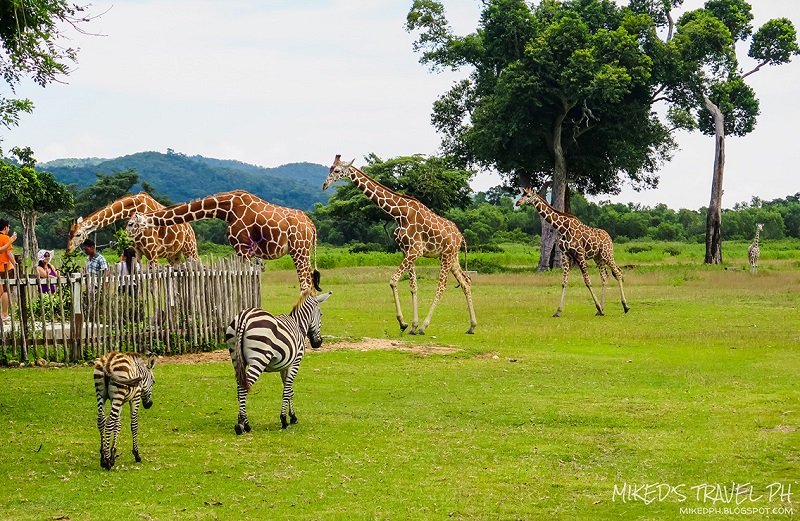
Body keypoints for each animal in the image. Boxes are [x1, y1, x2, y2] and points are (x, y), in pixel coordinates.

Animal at [65, 191, 197, 266]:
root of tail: (190, 228)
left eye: (78, 234)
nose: (67, 251)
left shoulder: (151, 251)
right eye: (69, 234)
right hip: (173, 255)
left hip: (190, 249)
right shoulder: (136, 250)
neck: (134, 208)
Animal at [126, 189, 320, 290]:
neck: (227, 210)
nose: (128, 237)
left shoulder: (243, 248)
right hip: (303, 251)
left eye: (130, 224)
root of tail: (312, 227)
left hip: (299, 250)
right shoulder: (245, 252)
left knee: (306, 285)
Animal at [227, 286, 332, 432]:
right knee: (244, 387)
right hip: (259, 358)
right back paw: (245, 425)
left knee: (239, 386)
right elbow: (287, 390)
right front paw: (284, 420)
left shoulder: (285, 366)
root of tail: (244, 316)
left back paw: (241, 421)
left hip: (236, 359)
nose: (318, 343)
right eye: (321, 314)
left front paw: (292, 417)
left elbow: (290, 391)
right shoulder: (295, 362)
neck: (299, 324)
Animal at [324, 153, 476, 334]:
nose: (324, 185)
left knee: (442, 287)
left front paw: (404, 323)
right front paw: (412, 325)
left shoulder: (416, 250)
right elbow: (413, 286)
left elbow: (393, 280)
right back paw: (472, 326)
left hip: (446, 256)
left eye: (337, 170)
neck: (399, 213)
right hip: (452, 257)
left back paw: (425, 326)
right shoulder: (406, 250)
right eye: (330, 168)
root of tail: (461, 237)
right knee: (466, 282)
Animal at [516, 187, 628, 316]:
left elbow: (587, 281)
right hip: (598, 257)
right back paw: (602, 309)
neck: (563, 228)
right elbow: (564, 282)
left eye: (528, 196)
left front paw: (598, 307)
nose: (517, 202)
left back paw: (625, 306)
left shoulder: (579, 254)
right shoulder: (565, 255)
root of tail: (609, 237)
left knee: (618, 272)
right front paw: (558, 311)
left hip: (607, 254)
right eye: (522, 194)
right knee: (605, 277)